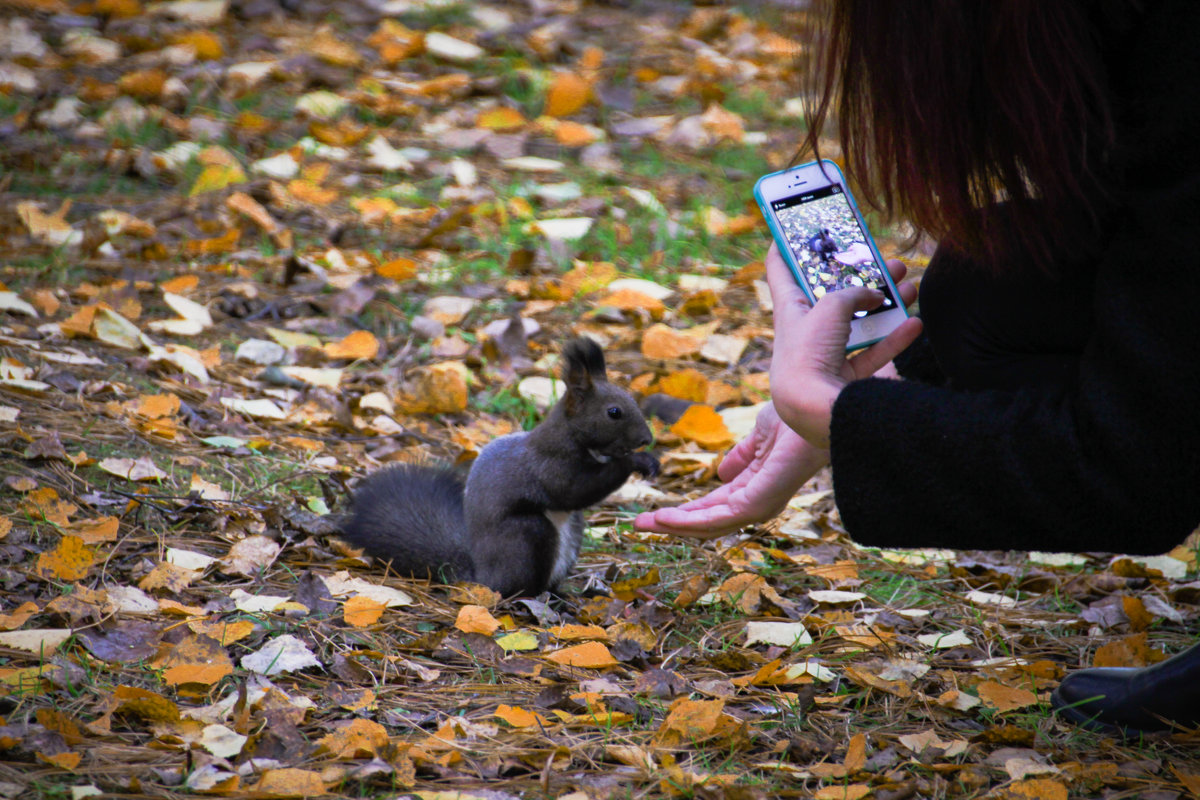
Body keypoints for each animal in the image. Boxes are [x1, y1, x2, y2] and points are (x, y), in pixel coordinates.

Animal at [338, 335, 662, 594]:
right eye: (614, 412)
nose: (646, 439)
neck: (578, 440)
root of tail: (480, 576)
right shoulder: (549, 466)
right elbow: (574, 490)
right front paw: (636, 461)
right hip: (527, 535)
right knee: (516, 586)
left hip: (572, 531)